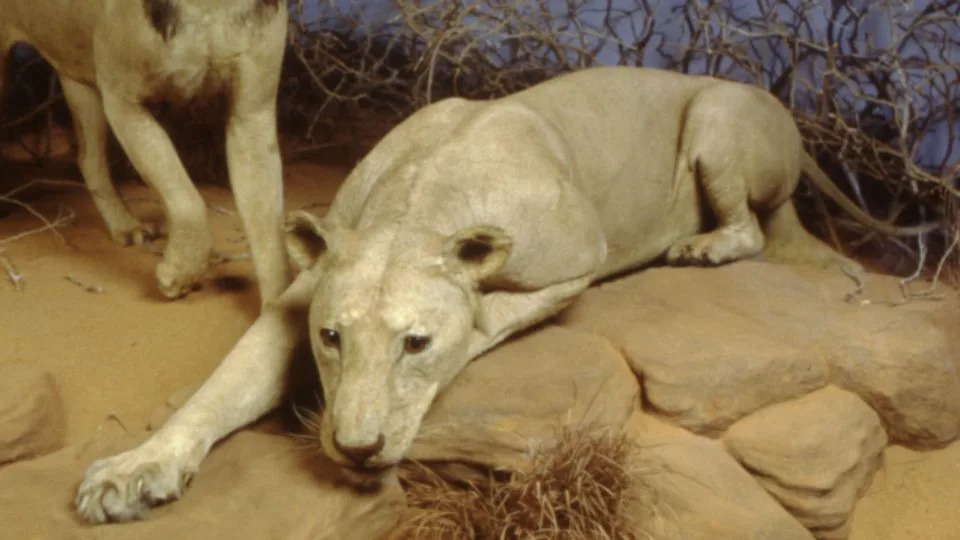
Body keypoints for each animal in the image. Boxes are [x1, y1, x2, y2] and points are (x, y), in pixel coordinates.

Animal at [1, 0, 290, 304]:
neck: (210, 8)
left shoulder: (252, 113)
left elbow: (269, 232)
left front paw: (279, 309)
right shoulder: (123, 101)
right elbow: (185, 198)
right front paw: (181, 274)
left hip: (79, 80)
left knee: (89, 159)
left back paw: (125, 226)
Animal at [79, 64, 932, 524]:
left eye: (415, 345)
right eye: (332, 339)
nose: (355, 447)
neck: (415, 207)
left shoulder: (576, 260)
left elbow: (489, 313)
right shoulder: (300, 297)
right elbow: (219, 389)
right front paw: (133, 472)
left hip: (719, 116)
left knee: (753, 229)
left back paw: (700, 246)